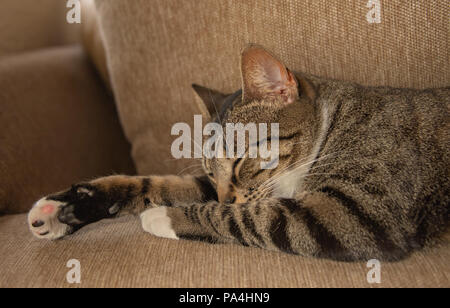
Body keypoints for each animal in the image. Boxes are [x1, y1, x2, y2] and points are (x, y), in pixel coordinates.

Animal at [29, 45, 450, 262]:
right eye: (211, 170)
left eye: (241, 160)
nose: (223, 195)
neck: (334, 122)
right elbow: (165, 184)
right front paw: (66, 206)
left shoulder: (356, 212)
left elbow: (249, 217)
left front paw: (161, 217)